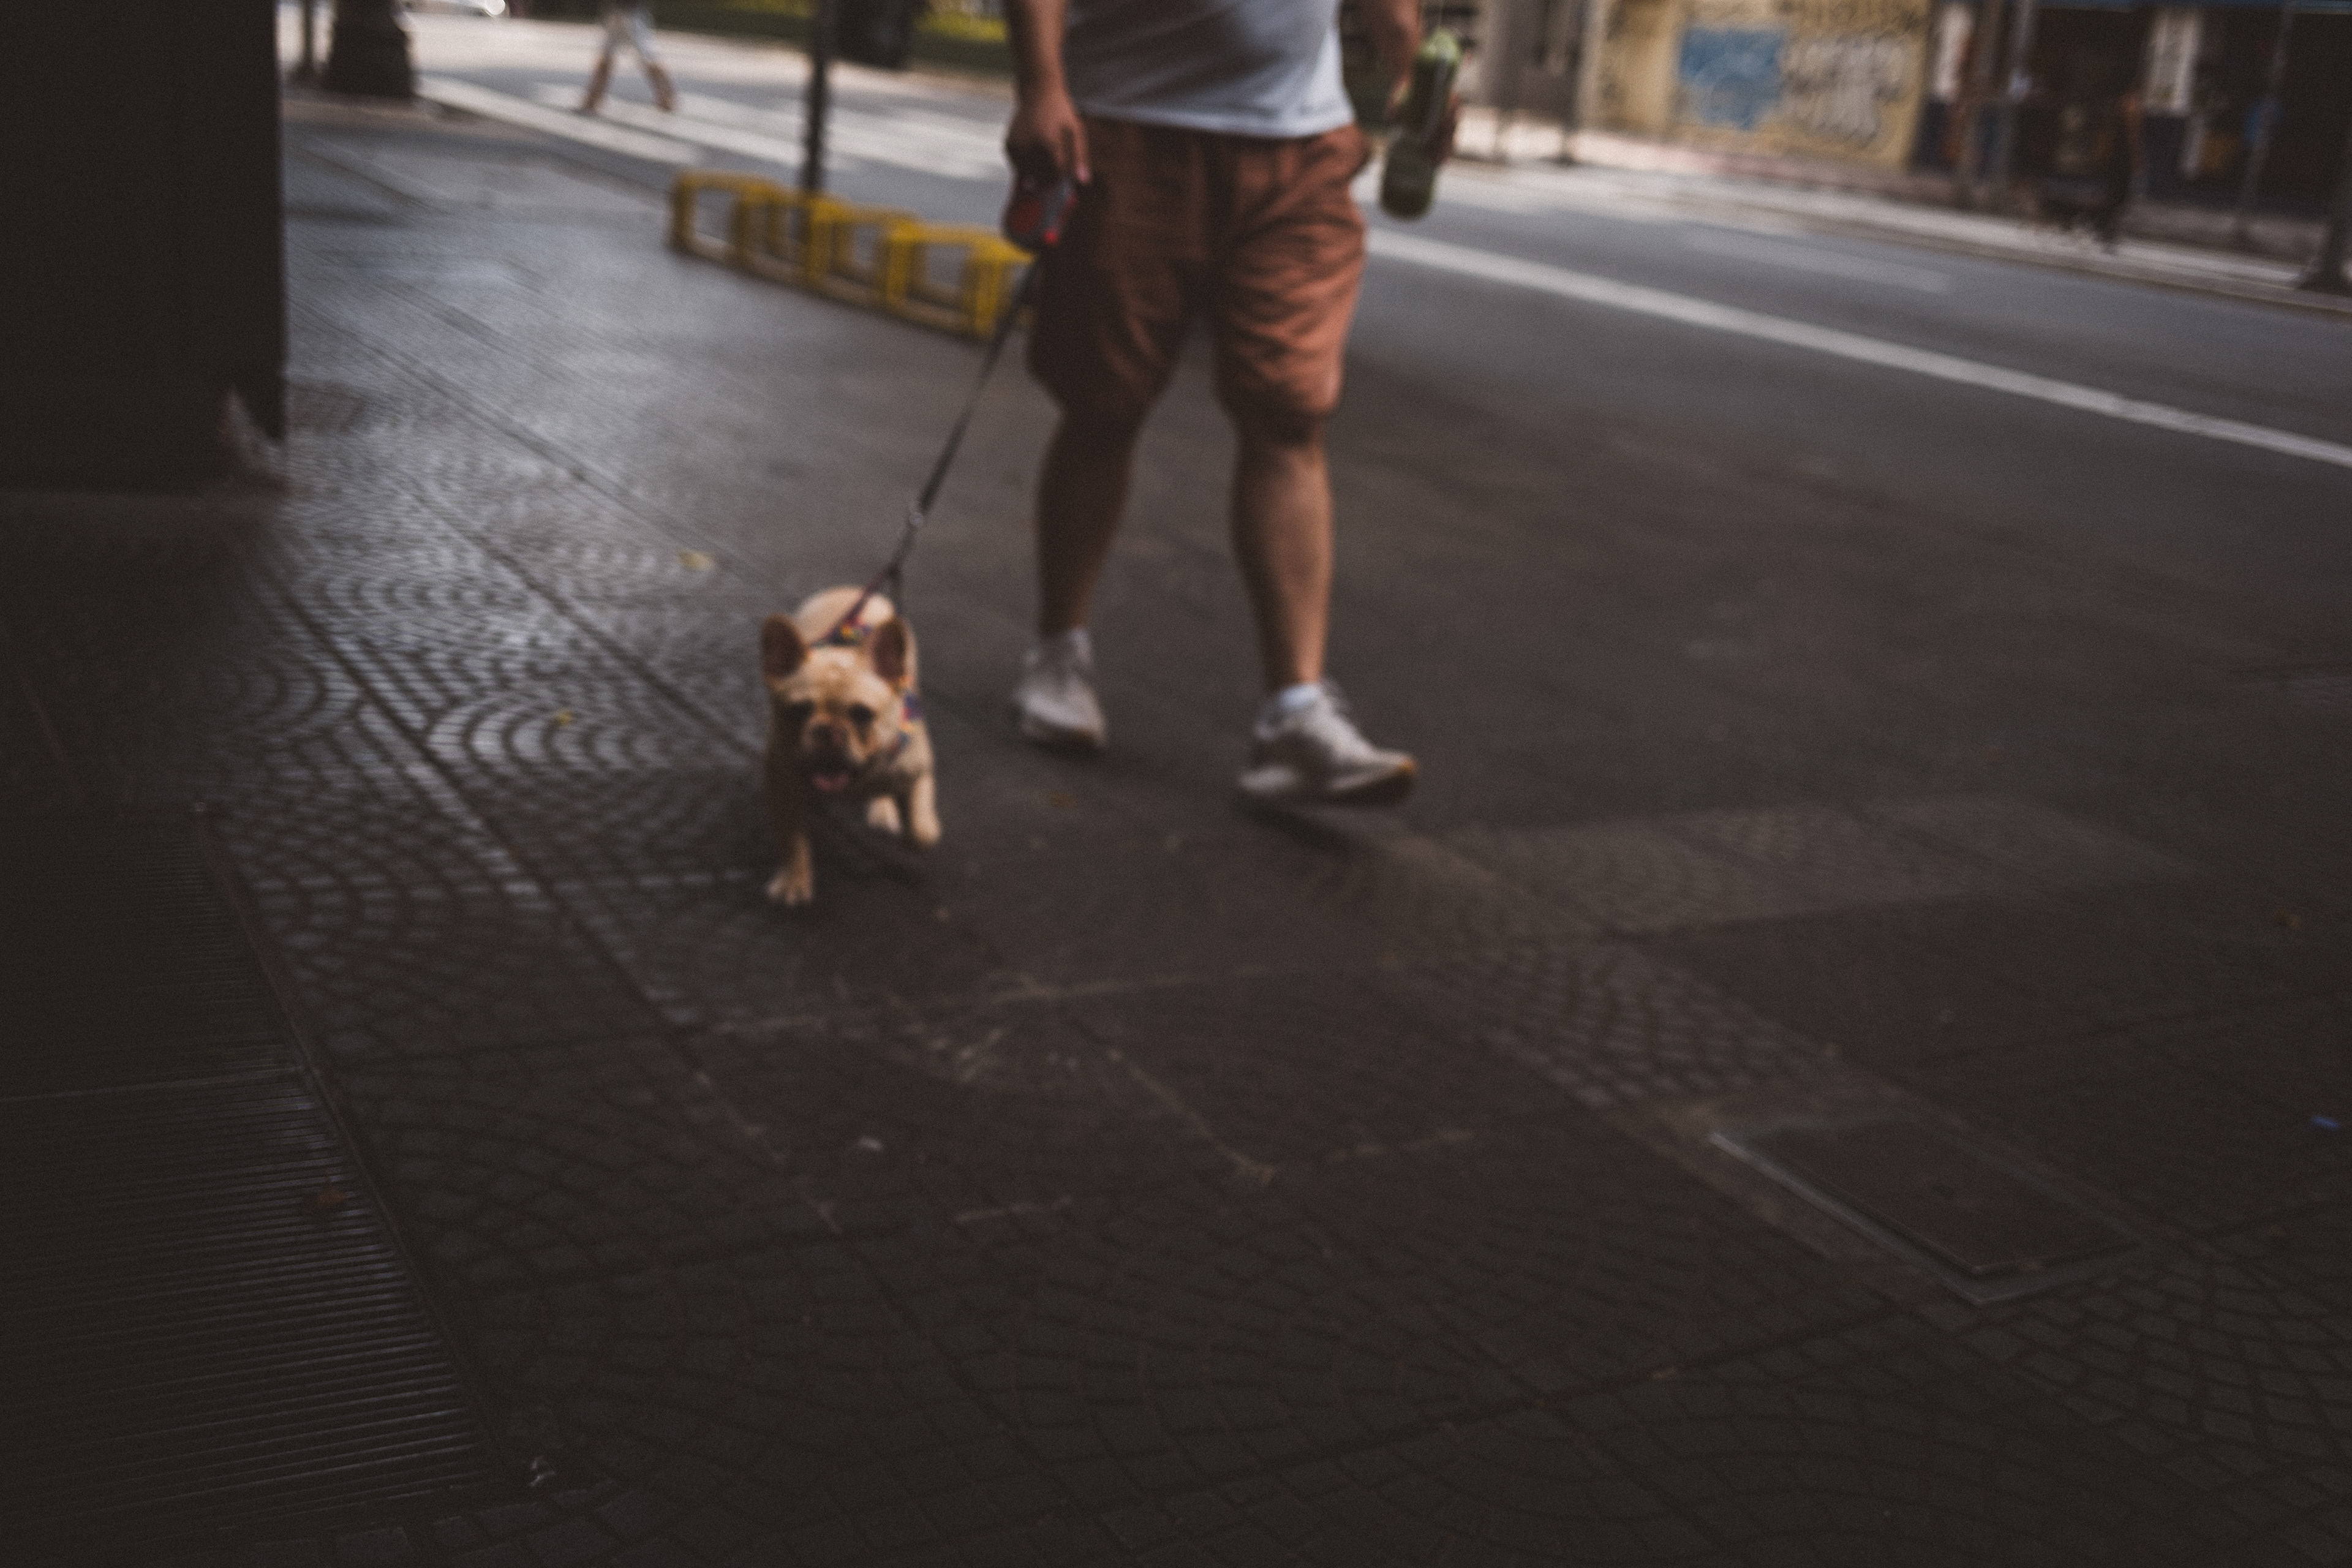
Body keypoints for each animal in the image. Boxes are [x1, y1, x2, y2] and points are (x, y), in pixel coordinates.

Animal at [760, 586, 938, 905]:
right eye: (798, 711)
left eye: (862, 715)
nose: (828, 731)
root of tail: (848, 591)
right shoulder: (781, 787)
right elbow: (791, 841)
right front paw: (794, 878)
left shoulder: (919, 770)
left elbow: (920, 830)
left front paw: (919, 829)